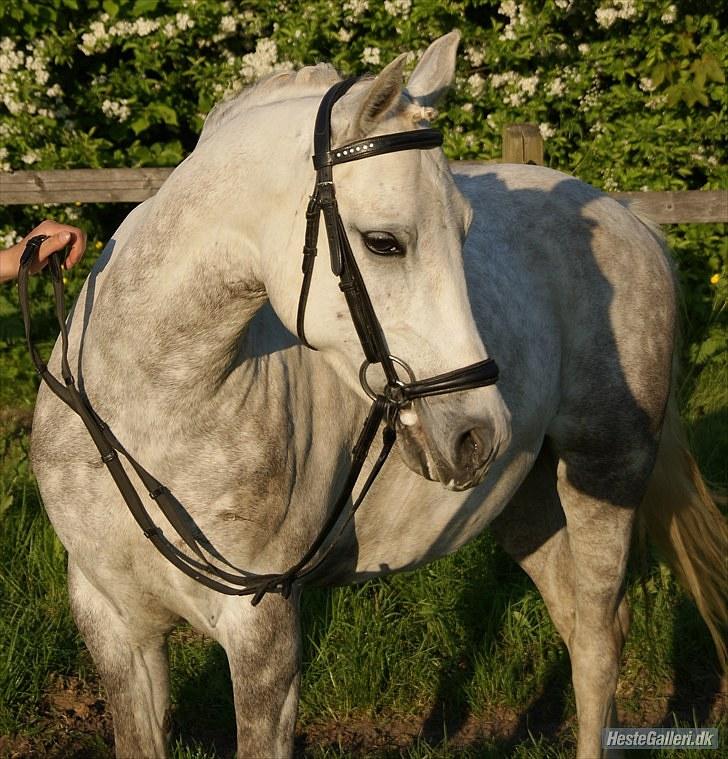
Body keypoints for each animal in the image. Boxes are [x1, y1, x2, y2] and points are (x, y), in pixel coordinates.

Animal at [31, 31, 724, 759]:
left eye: (466, 234)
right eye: (383, 242)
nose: (478, 435)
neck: (152, 408)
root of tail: (628, 216)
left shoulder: (263, 635)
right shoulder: (115, 624)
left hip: (605, 476)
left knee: (596, 639)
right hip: (528, 502)